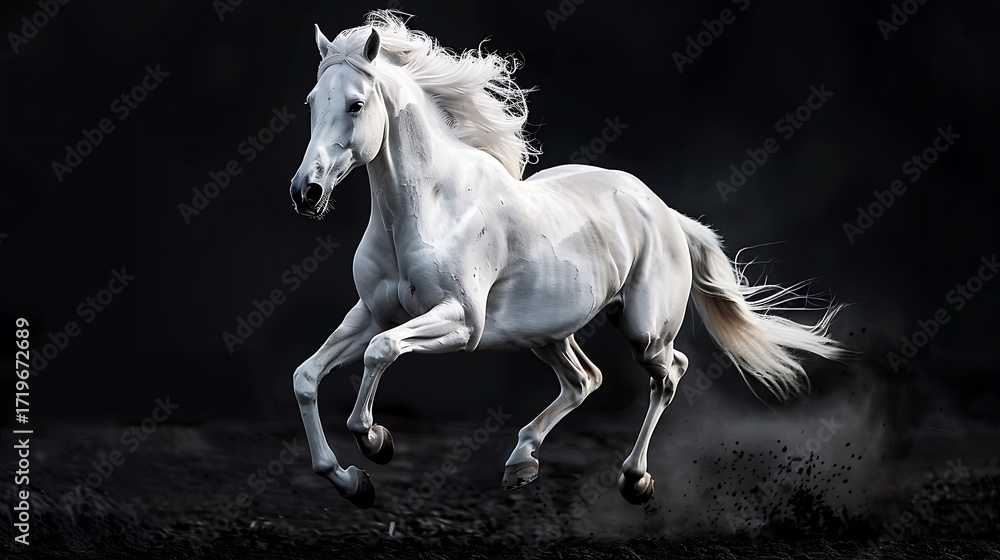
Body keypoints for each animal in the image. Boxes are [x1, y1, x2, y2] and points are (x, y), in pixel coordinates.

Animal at [288, 11, 844, 509]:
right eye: (312, 101)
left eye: (356, 104)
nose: (305, 192)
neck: (430, 208)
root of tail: (665, 213)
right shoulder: (374, 312)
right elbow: (307, 377)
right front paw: (352, 482)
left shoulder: (462, 322)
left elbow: (379, 352)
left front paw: (375, 440)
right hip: (545, 333)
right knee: (585, 380)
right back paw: (521, 462)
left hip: (643, 331)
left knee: (669, 372)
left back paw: (634, 480)